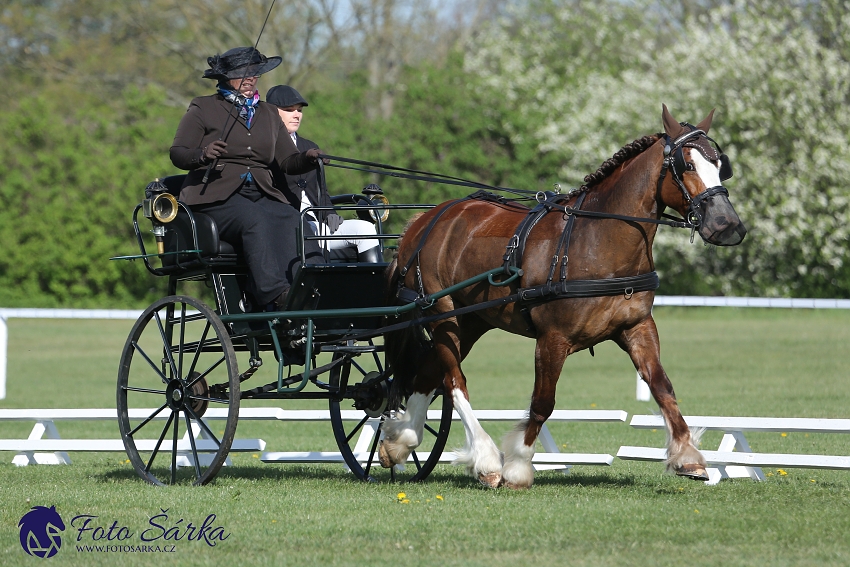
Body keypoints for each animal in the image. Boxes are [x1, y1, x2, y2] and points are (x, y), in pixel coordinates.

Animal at [378, 105, 744, 488]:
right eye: (687, 165)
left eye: (721, 165)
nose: (728, 225)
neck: (597, 239)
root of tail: (423, 221)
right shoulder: (552, 339)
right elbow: (543, 402)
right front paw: (518, 464)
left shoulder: (637, 327)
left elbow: (662, 386)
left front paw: (688, 456)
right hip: (442, 314)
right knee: (453, 381)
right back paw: (486, 459)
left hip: (471, 320)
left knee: (427, 373)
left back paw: (400, 441)